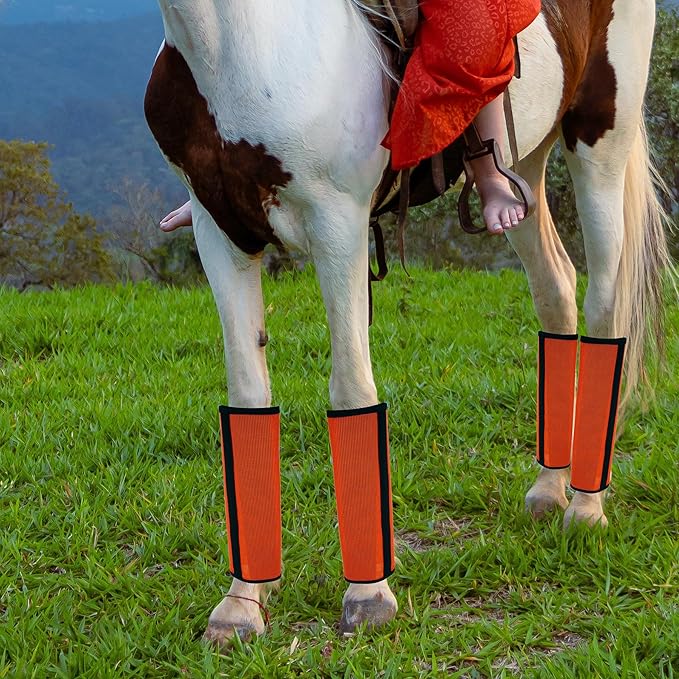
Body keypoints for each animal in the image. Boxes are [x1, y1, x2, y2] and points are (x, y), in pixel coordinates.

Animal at [144, 0, 670, 646]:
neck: (240, 48)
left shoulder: (337, 224)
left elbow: (352, 389)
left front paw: (369, 594)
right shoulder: (220, 231)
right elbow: (247, 396)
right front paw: (243, 603)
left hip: (601, 140)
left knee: (604, 311)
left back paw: (586, 507)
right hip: (526, 161)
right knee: (556, 292)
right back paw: (549, 488)